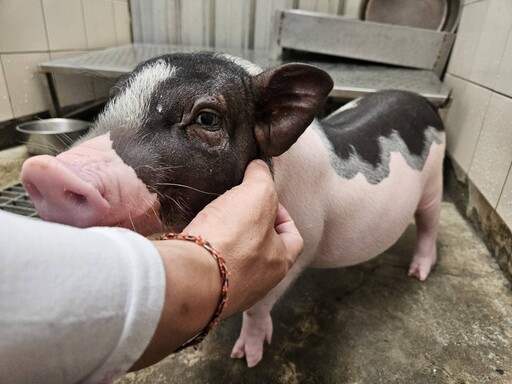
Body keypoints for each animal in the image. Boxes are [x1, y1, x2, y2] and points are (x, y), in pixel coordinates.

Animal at [20, 50, 444, 366]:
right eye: (111, 103)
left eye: (207, 118)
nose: (45, 172)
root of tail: (422, 102)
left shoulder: (302, 246)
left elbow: (258, 309)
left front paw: (246, 358)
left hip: (435, 181)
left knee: (429, 224)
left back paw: (418, 273)